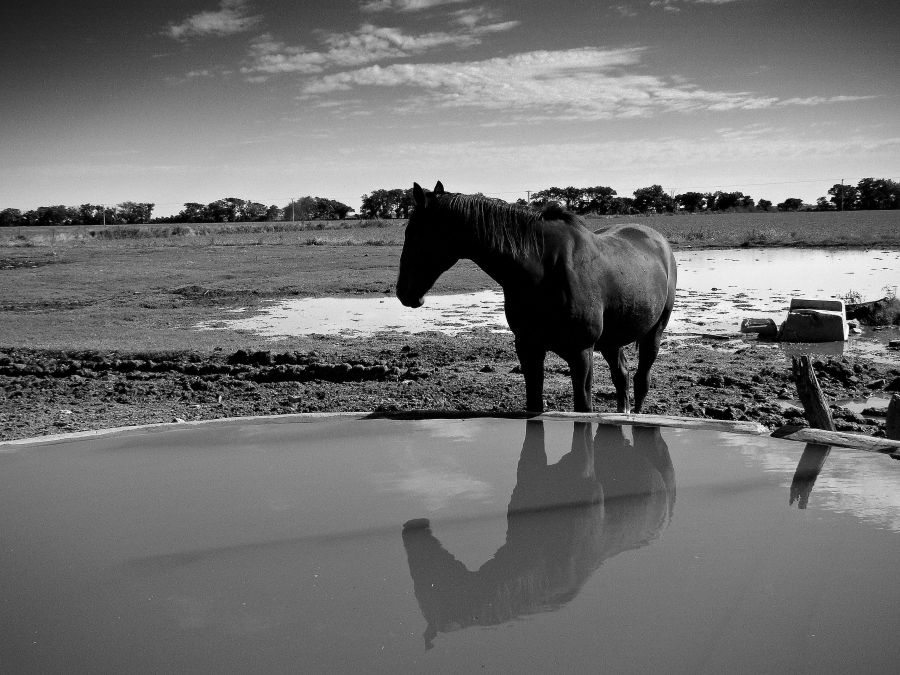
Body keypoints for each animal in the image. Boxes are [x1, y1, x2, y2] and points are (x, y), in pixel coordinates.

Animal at [398, 182, 680, 414]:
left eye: (414, 233)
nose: (403, 292)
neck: (544, 270)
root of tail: (658, 239)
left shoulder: (581, 353)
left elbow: (583, 407)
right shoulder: (528, 347)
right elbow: (534, 403)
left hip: (654, 332)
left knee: (641, 380)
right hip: (612, 339)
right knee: (621, 375)